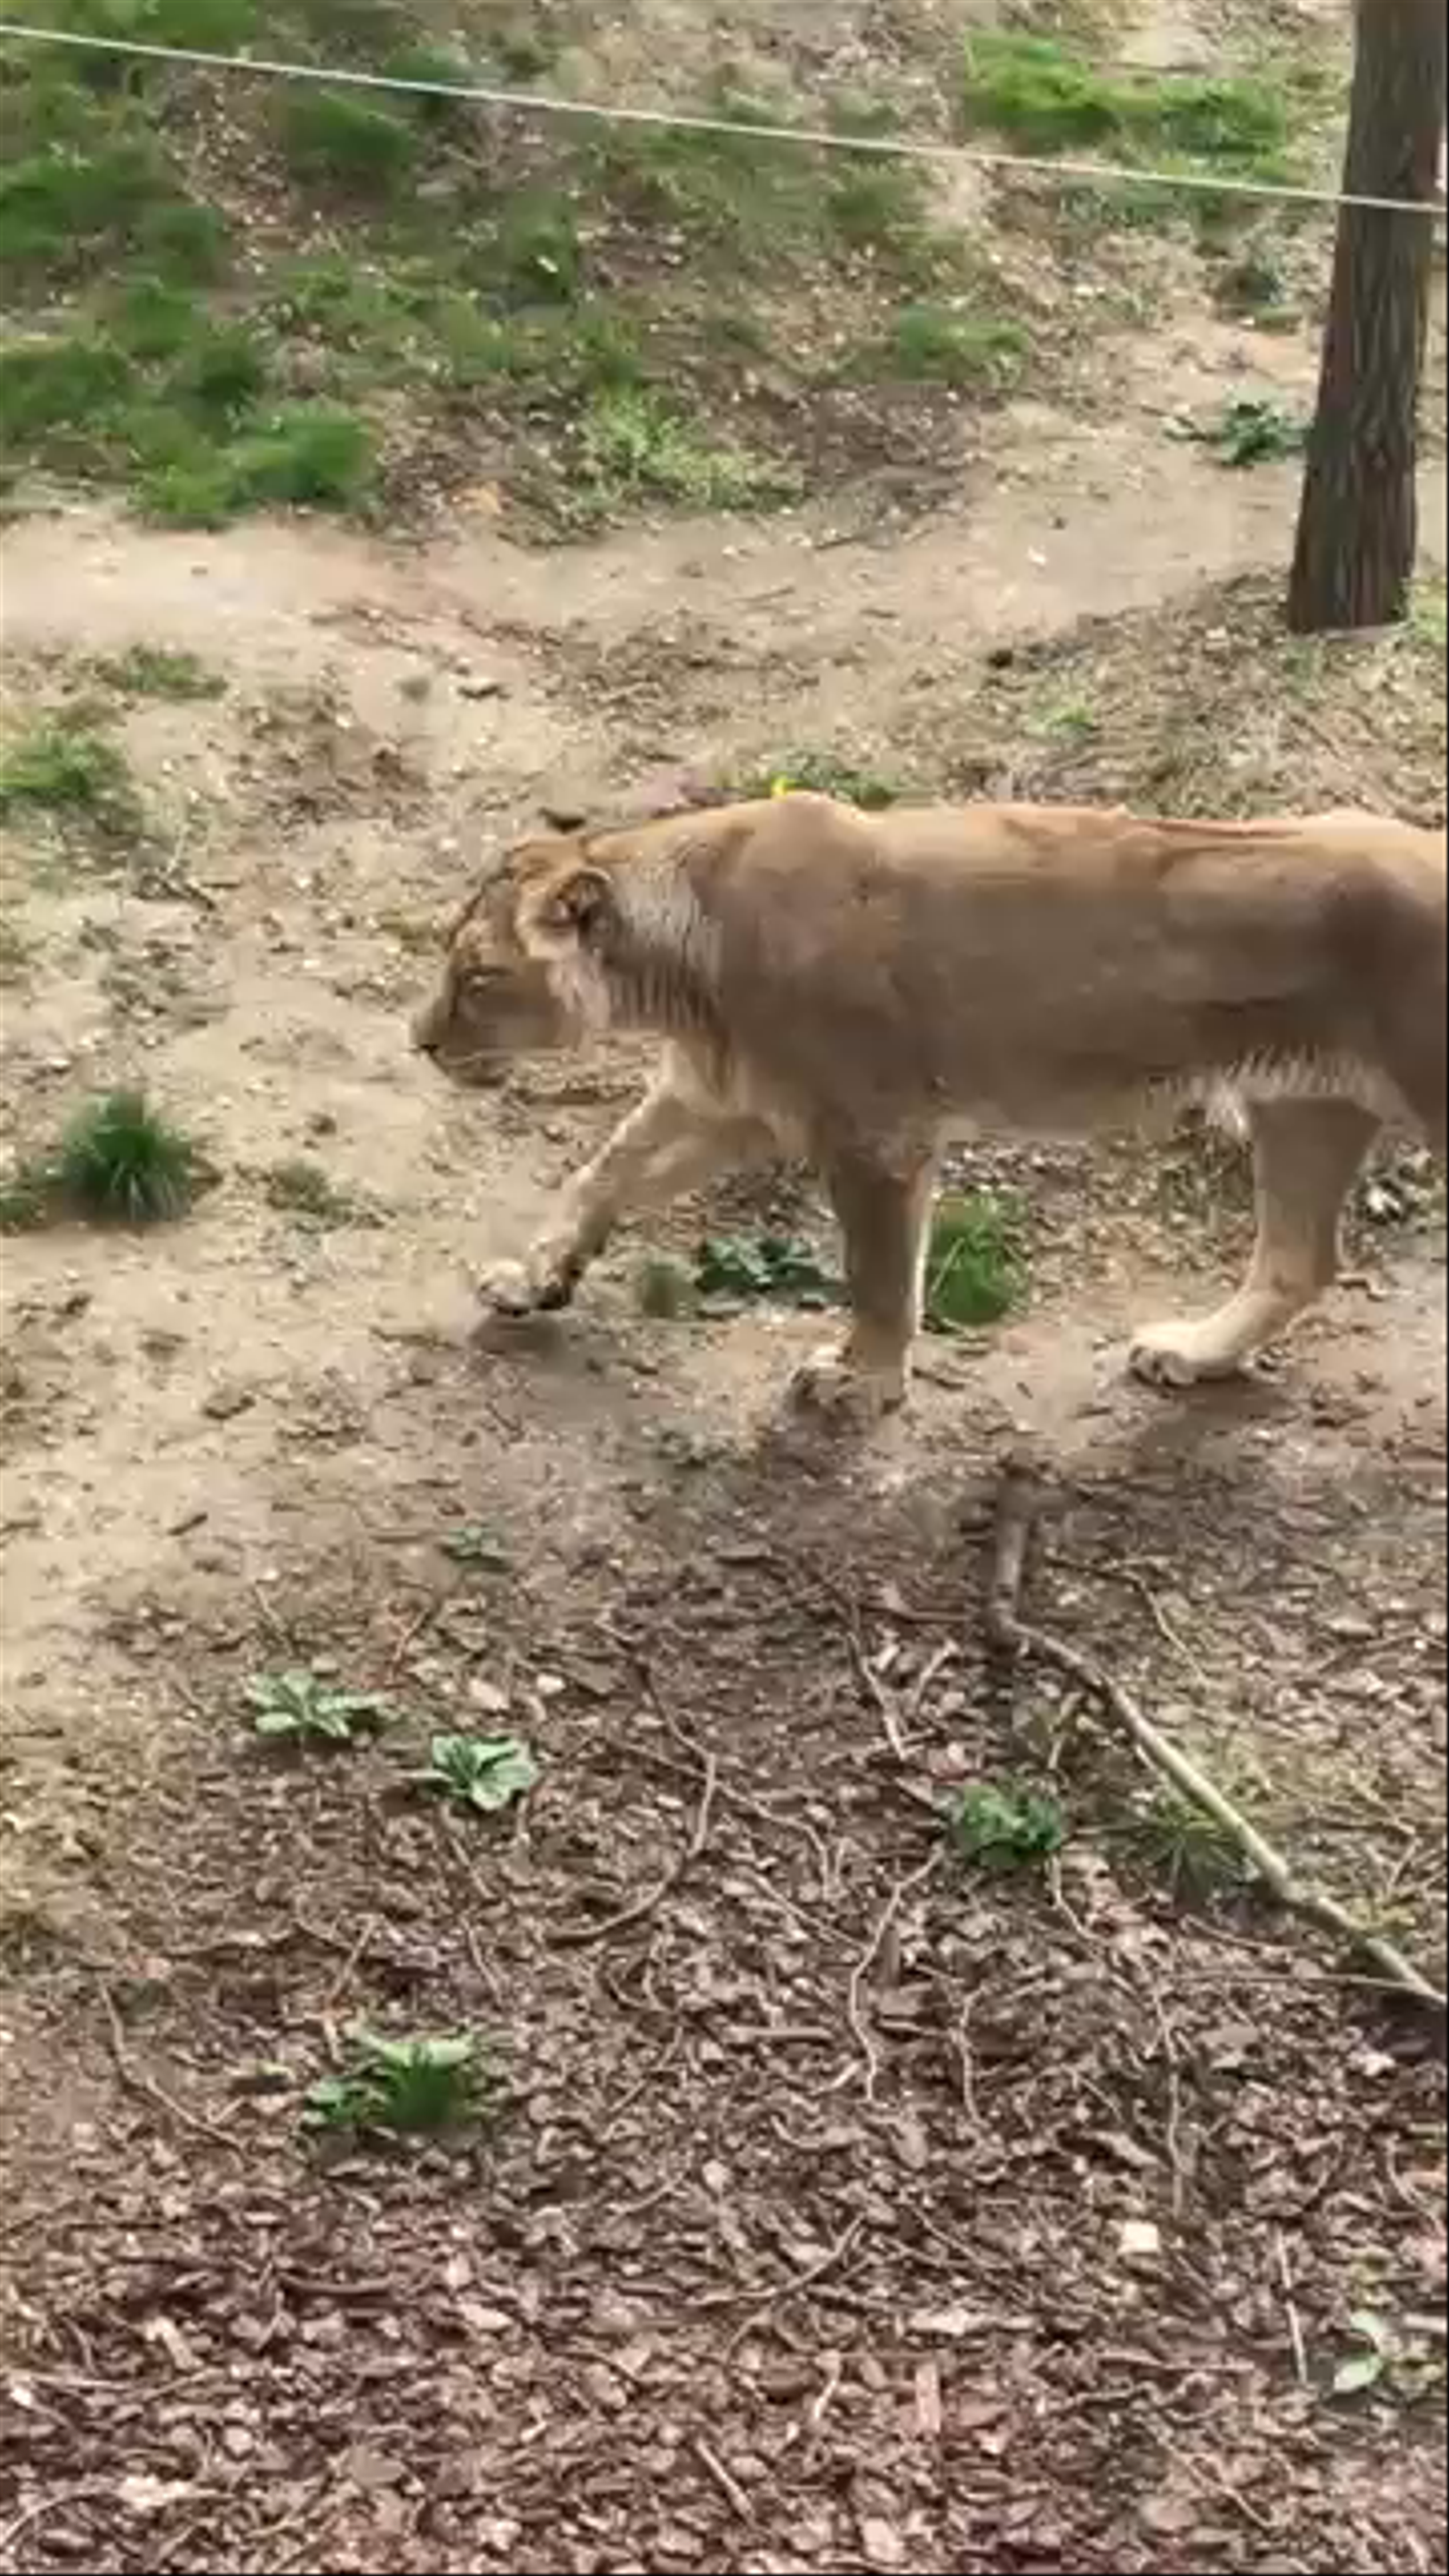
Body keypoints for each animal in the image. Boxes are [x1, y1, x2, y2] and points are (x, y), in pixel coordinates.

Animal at [412, 792, 1446, 1417]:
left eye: (478, 976)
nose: (419, 1040)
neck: (678, 967)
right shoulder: (727, 1100)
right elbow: (601, 1173)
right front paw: (535, 1278)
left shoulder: (874, 1134)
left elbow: (877, 1272)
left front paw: (860, 1381)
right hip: (1302, 1107)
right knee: (1301, 1261)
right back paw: (1195, 1352)